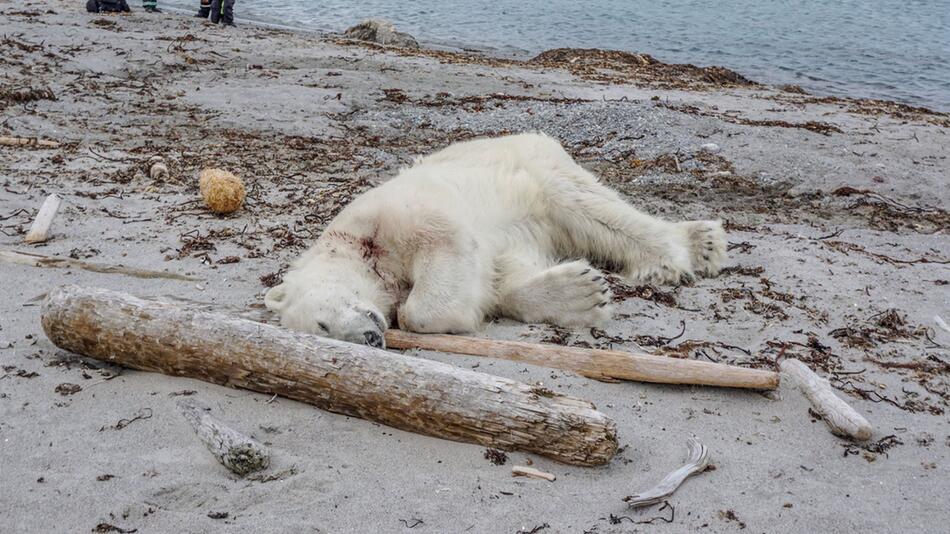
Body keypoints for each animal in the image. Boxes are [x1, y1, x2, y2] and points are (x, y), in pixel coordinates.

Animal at [268, 133, 728, 348]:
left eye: (322, 324)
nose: (370, 338)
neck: (357, 248)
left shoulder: (389, 217)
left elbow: (443, 253)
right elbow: (502, 274)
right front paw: (579, 293)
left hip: (535, 168)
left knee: (589, 208)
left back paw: (686, 250)